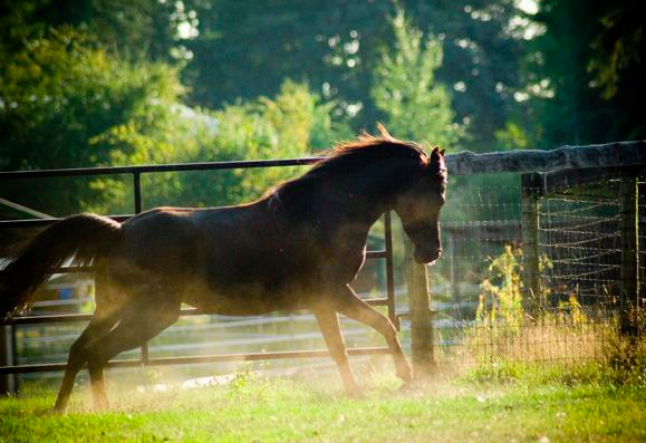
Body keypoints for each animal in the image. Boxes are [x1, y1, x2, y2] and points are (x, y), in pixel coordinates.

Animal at [0, 128, 446, 412]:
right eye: (438, 195)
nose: (432, 253)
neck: (324, 213)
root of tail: (119, 232)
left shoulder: (333, 298)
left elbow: (382, 325)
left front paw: (405, 378)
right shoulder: (329, 296)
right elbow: (346, 344)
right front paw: (372, 388)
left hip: (113, 309)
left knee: (82, 350)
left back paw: (70, 409)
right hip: (151, 314)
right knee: (95, 352)